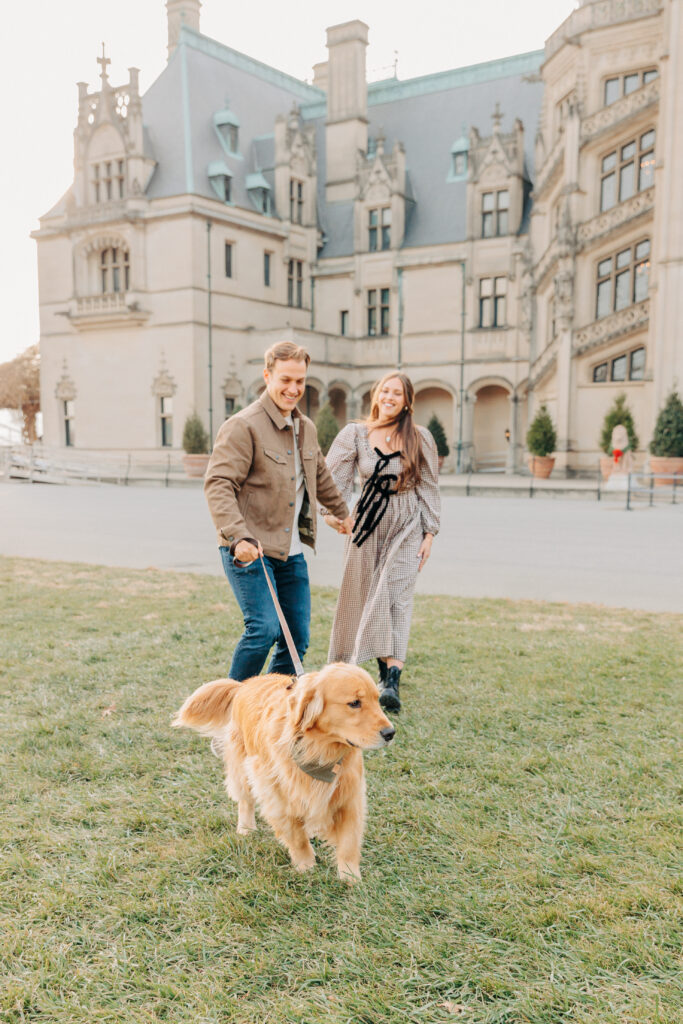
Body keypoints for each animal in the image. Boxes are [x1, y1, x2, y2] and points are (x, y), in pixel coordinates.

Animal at [172, 663, 395, 880]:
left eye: (377, 700)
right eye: (355, 703)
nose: (391, 733)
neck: (318, 751)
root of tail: (243, 684)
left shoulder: (349, 795)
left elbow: (349, 842)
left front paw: (351, 877)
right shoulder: (277, 795)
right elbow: (297, 837)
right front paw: (306, 866)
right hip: (243, 767)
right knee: (245, 800)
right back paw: (246, 827)